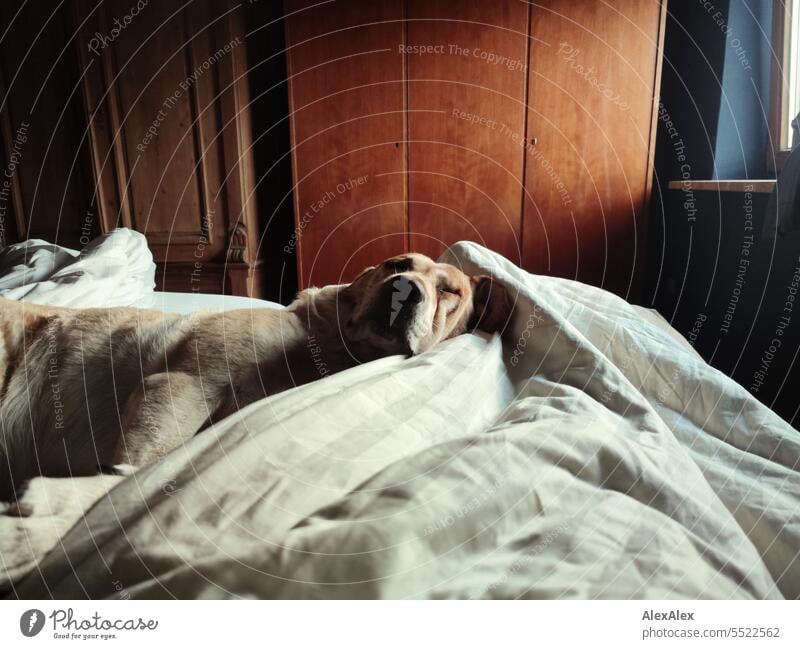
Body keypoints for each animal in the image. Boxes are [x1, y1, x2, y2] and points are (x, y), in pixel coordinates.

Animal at [0, 252, 510, 496]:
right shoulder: (183, 384)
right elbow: (132, 471)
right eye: (398, 264)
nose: (403, 287)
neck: (329, 347)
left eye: (450, 290)